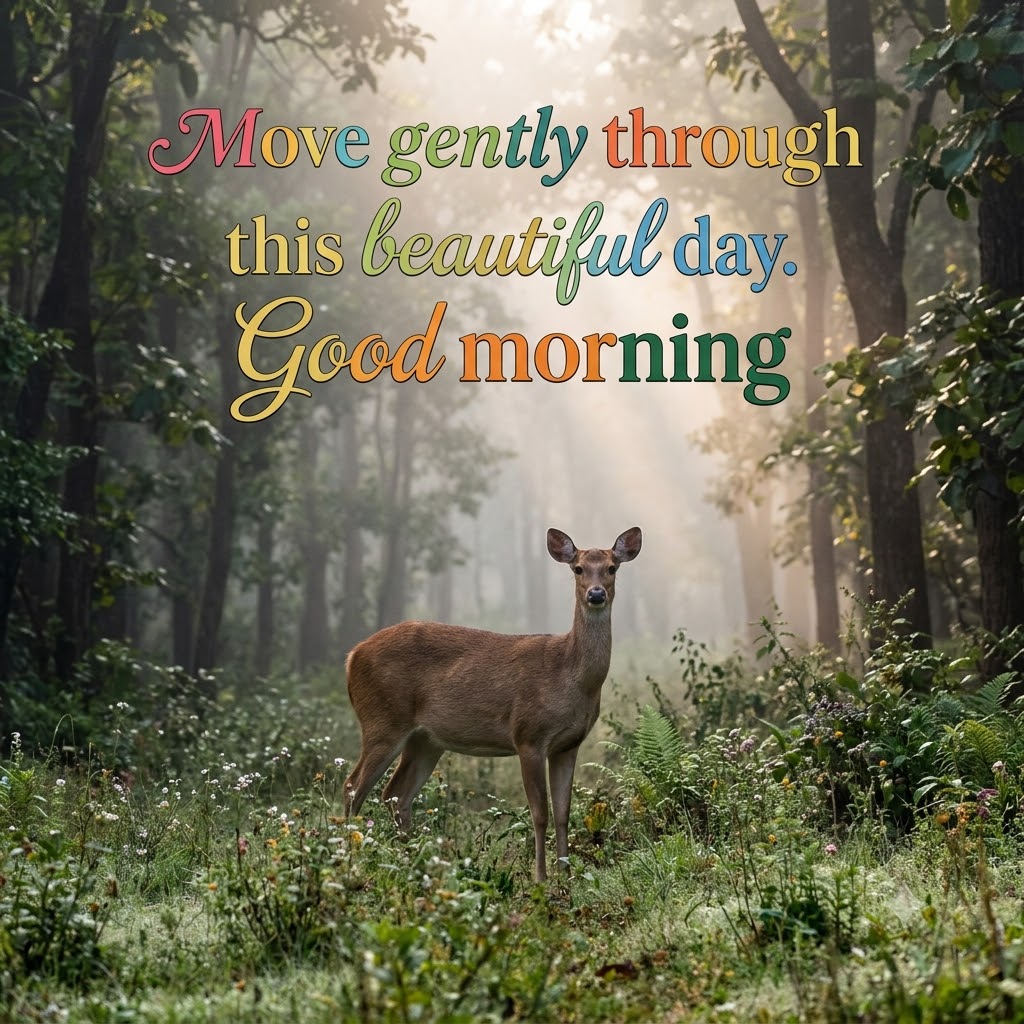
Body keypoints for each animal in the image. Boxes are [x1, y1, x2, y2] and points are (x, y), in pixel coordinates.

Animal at [342, 526, 642, 881]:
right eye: (578, 568)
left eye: (612, 568)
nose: (596, 594)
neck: (570, 676)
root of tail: (352, 657)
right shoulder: (528, 734)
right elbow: (540, 812)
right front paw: (541, 878)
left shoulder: (569, 744)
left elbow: (563, 812)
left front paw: (566, 877)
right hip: (382, 719)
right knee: (353, 786)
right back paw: (348, 857)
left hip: (425, 739)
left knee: (395, 793)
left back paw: (411, 862)